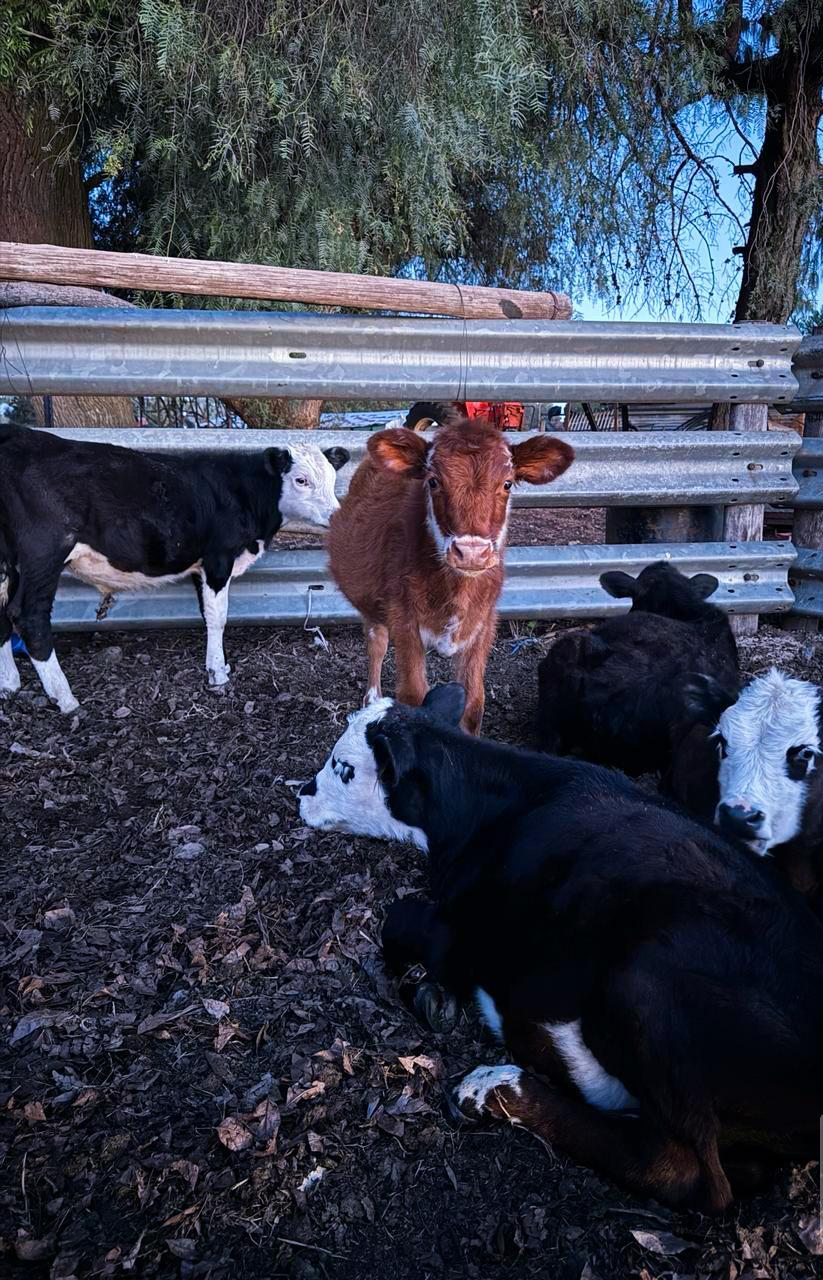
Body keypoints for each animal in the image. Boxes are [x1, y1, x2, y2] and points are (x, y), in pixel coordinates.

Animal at [0, 425, 349, 712]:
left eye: (333, 479)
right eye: (301, 480)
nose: (336, 515)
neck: (243, 494)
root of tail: (18, 435)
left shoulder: (202, 567)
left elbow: (206, 614)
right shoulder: (218, 558)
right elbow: (218, 617)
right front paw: (218, 674)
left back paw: (9, 685)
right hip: (44, 551)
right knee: (29, 617)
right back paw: (65, 699)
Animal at [327, 419, 573, 734]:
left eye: (507, 483)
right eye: (433, 481)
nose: (471, 553)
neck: (456, 591)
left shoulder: (484, 622)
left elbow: (474, 701)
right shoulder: (403, 619)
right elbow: (413, 692)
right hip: (372, 606)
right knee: (377, 644)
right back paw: (371, 698)